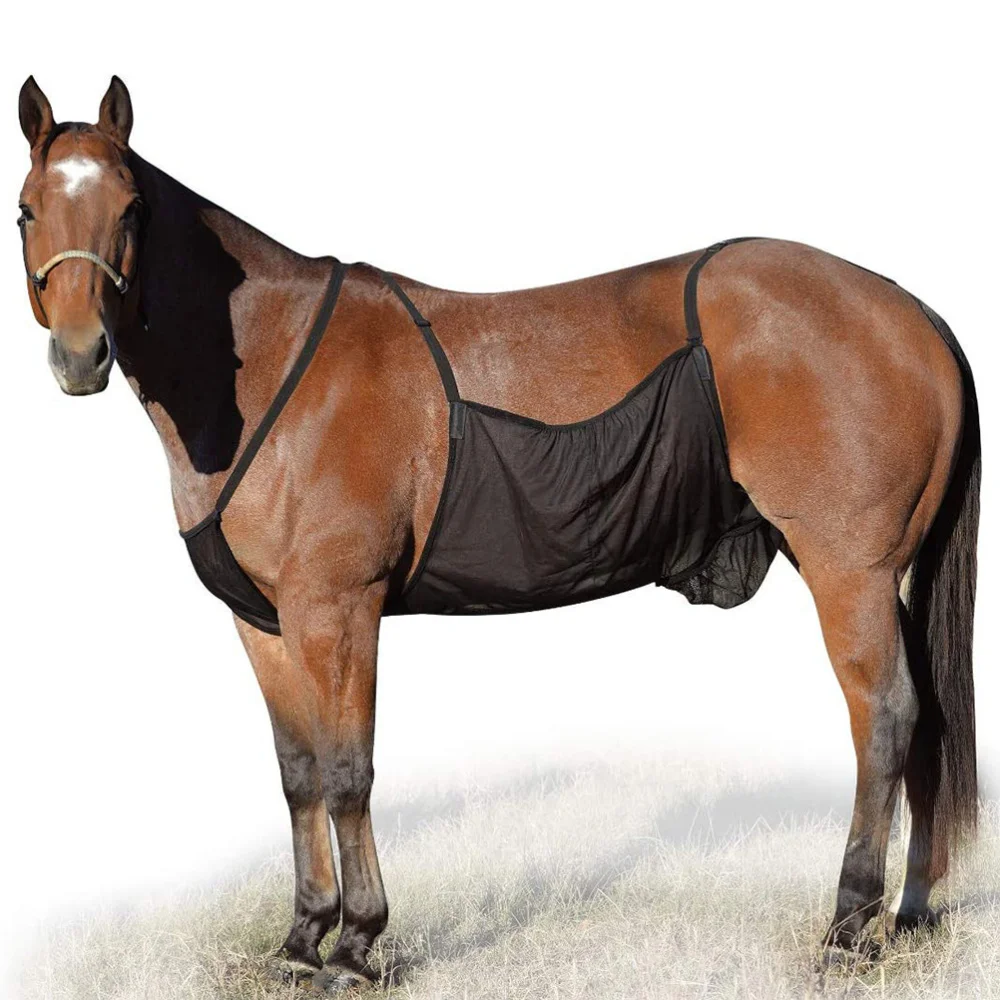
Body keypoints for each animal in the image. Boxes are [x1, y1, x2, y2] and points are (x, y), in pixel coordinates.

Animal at [17, 76, 979, 992]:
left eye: (130, 209)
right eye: (27, 208)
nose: (80, 355)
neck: (270, 368)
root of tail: (910, 311)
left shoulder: (338, 610)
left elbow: (347, 772)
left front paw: (356, 946)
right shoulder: (264, 620)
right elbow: (298, 775)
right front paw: (299, 938)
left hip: (850, 572)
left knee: (885, 717)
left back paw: (849, 926)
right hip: (884, 578)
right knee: (926, 719)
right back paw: (910, 910)